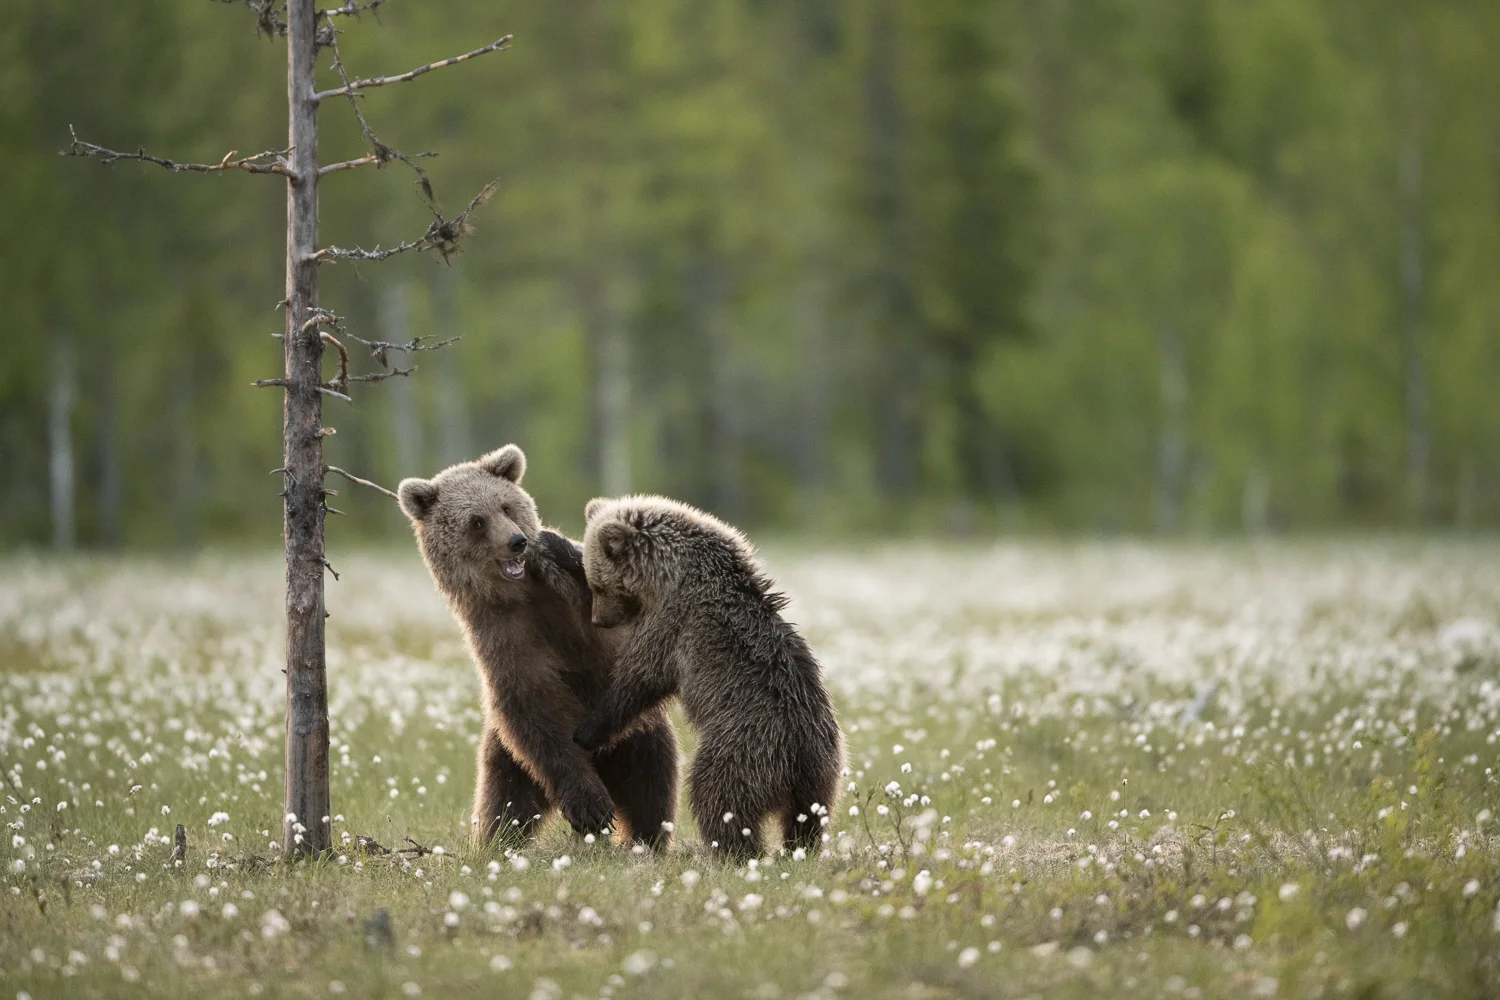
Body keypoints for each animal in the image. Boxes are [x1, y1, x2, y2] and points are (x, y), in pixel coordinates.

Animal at [396, 446, 679, 850]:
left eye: (506, 507)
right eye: (476, 521)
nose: (517, 541)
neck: (522, 595)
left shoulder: (576, 606)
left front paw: (557, 544)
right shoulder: (502, 636)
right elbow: (534, 705)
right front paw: (590, 806)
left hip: (637, 734)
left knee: (650, 782)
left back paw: (645, 840)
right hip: (508, 755)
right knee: (505, 799)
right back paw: (496, 843)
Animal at [573, 495, 845, 859]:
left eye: (598, 584)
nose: (599, 620)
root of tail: (798, 755)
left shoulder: (672, 619)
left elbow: (640, 676)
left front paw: (586, 731)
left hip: (743, 748)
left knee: (717, 795)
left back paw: (732, 851)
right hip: (821, 772)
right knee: (807, 818)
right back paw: (798, 848)